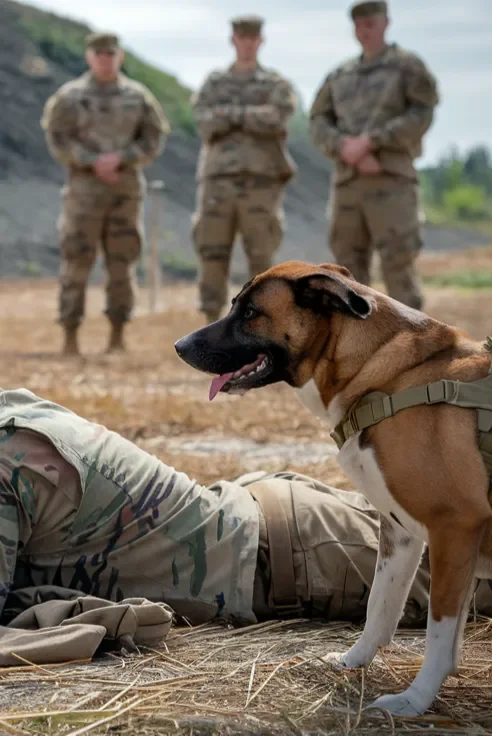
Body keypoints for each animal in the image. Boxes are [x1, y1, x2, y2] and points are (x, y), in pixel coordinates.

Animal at [174, 258, 492, 712]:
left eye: (250, 313)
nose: (179, 345)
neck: (389, 375)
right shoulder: (401, 534)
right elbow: (380, 607)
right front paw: (352, 661)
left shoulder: (455, 528)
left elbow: (439, 632)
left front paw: (413, 701)